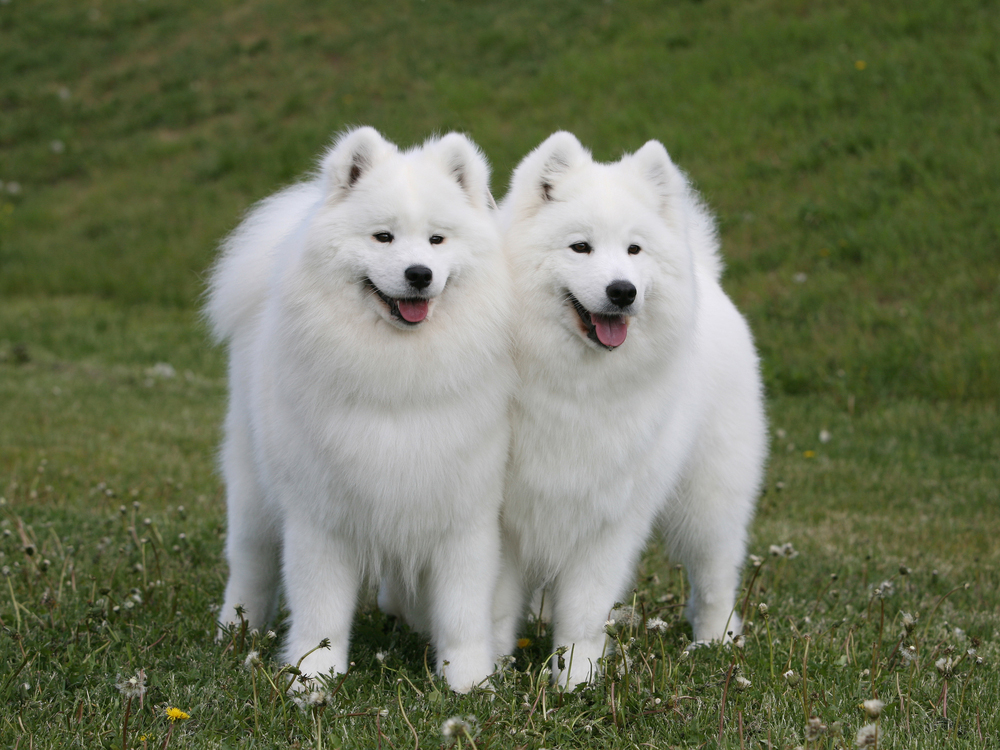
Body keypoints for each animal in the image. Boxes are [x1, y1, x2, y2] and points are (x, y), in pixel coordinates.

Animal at [206, 125, 512, 692]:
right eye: (383, 237)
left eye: (437, 240)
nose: (419, 274)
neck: (398, 378)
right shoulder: (321, 514)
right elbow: (321, 609)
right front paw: (312, 679)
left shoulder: (464, 513)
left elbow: (462, 610)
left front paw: (467, 681)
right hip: (253, 489)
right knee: (250, 565)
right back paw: (236, 633)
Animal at [496, 134, 768, 688]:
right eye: (580, 247)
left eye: (634, 250)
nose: (623, 290)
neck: (573, 387)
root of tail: (706, 273)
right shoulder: (505, 517)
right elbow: (491, 605)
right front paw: (484, 674)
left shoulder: (608, 520)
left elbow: (584, 611)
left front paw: (576, 678)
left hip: (709, 498)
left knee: (716, 576)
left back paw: (714, 642)